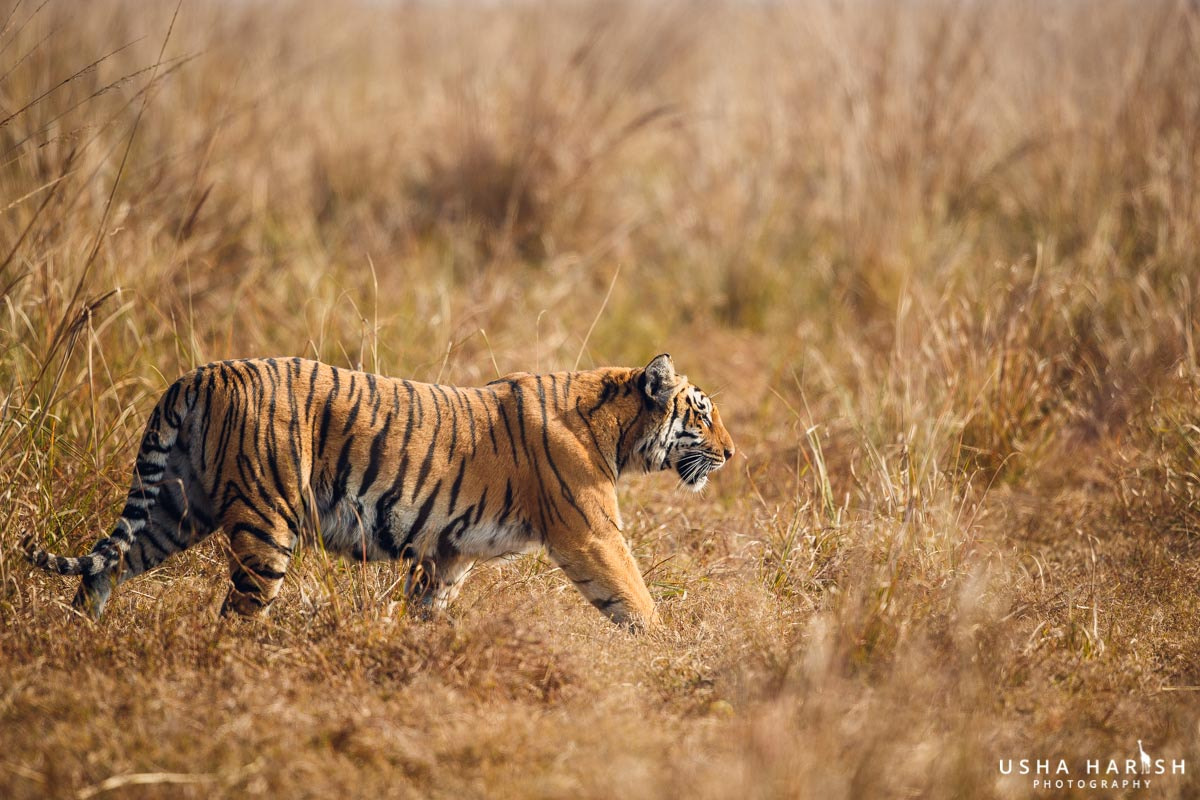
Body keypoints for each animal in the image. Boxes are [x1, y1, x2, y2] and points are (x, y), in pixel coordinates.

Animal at [25, 352, 729, 628]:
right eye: (702, 414)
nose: (731, 453)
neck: (618, 431)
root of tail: (198, 377)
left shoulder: (451, 552)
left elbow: (428, 605)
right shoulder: (592, 534)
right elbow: (635, 599)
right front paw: (668, 653)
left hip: (178, 507)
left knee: (106, 565)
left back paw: (83, 633)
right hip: (267, 523)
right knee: (235, 615)